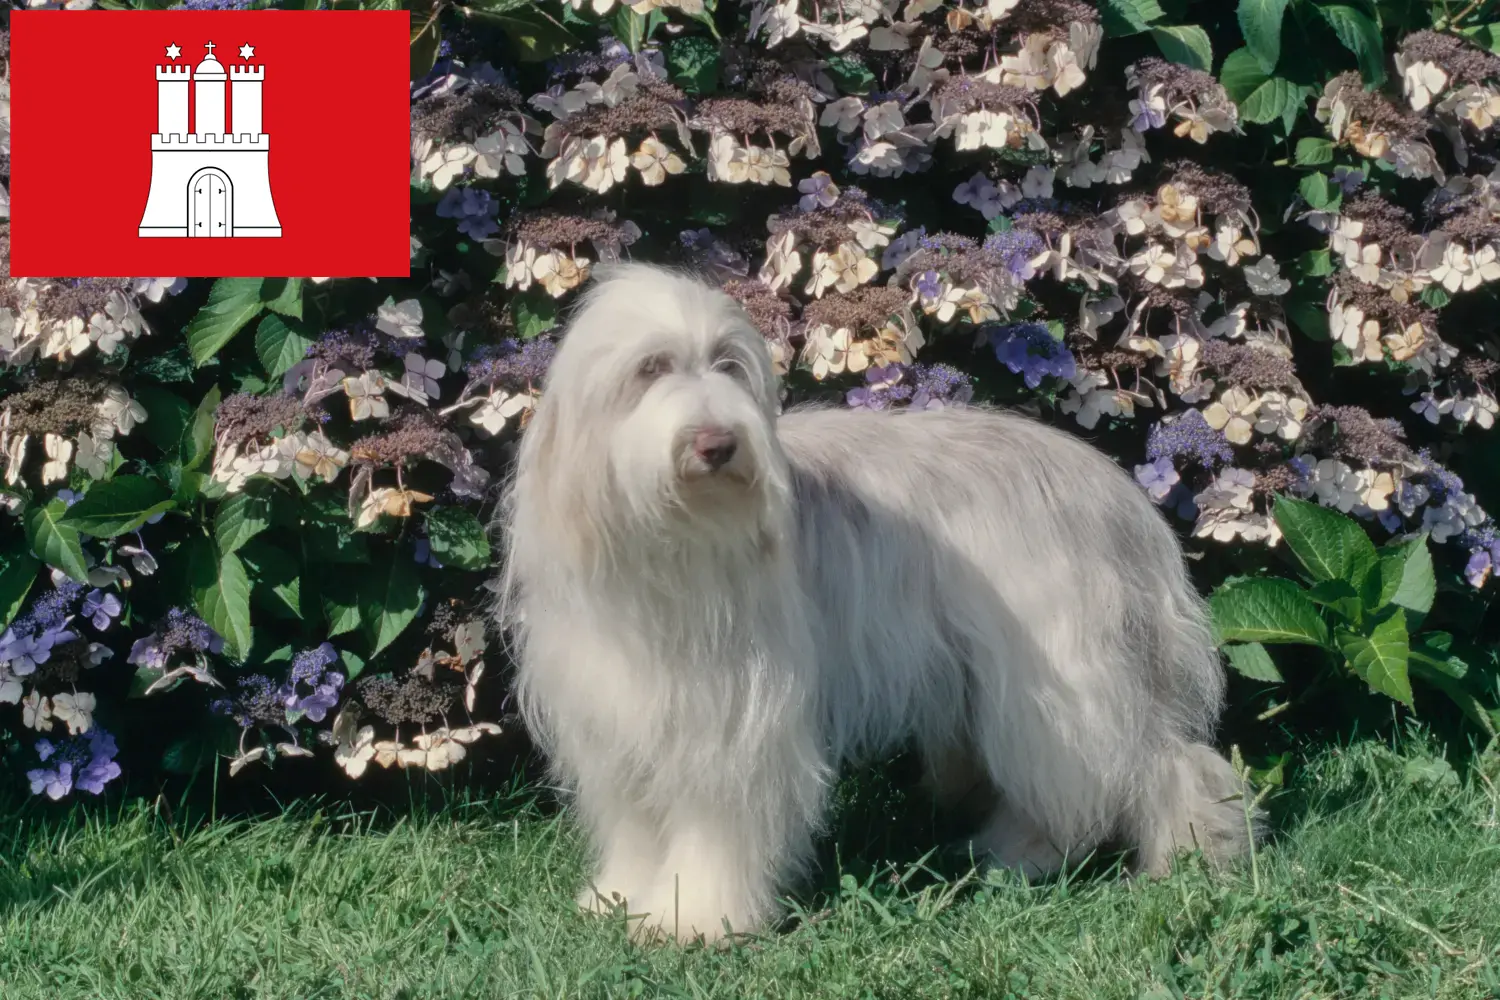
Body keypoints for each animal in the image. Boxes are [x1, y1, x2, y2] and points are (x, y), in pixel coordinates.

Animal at [501, 262, 1254, 941]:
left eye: (728, 365)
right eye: (650, 369)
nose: (718, 443)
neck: (671, 546)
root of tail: (1121, 494)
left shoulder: (735, 725)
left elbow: (718, 823)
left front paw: (696, 917)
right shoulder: (617, 720)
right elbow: (634, 824)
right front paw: (619, 898)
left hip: (1066, 677)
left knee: (1146, 766)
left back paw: (1179, 857)